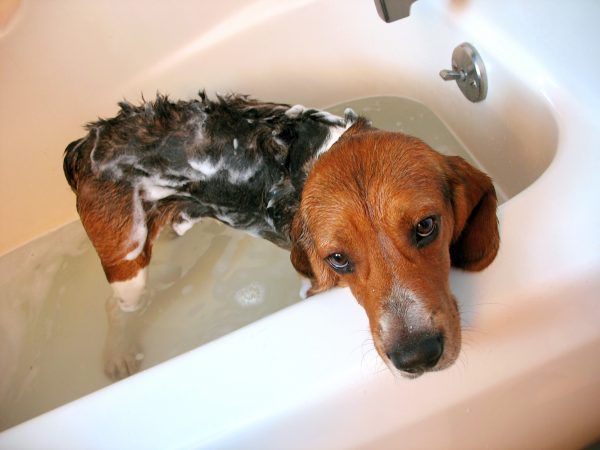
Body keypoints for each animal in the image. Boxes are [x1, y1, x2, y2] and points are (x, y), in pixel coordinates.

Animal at [63, 91, 500, 380]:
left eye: (426, 226)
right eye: (337, 259)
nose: (416, 357)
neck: (322, 153)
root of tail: (85, 144)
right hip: (128, 261)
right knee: (116, 305)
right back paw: (118, 354)